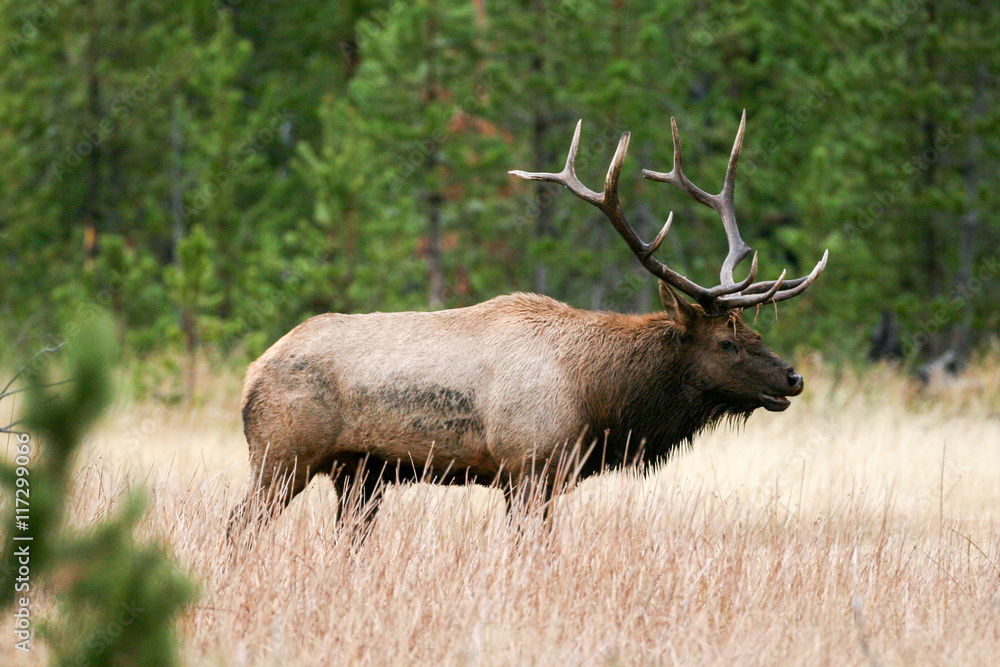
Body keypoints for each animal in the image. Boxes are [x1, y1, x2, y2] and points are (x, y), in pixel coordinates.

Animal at [227, 112, 828, 544]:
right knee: (238, 526)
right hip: (281, 455)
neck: (599, 399)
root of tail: (251, 376)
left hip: (359, 474)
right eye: (726, 342)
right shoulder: (528, 467)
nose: (792, 378)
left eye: (755, 334)